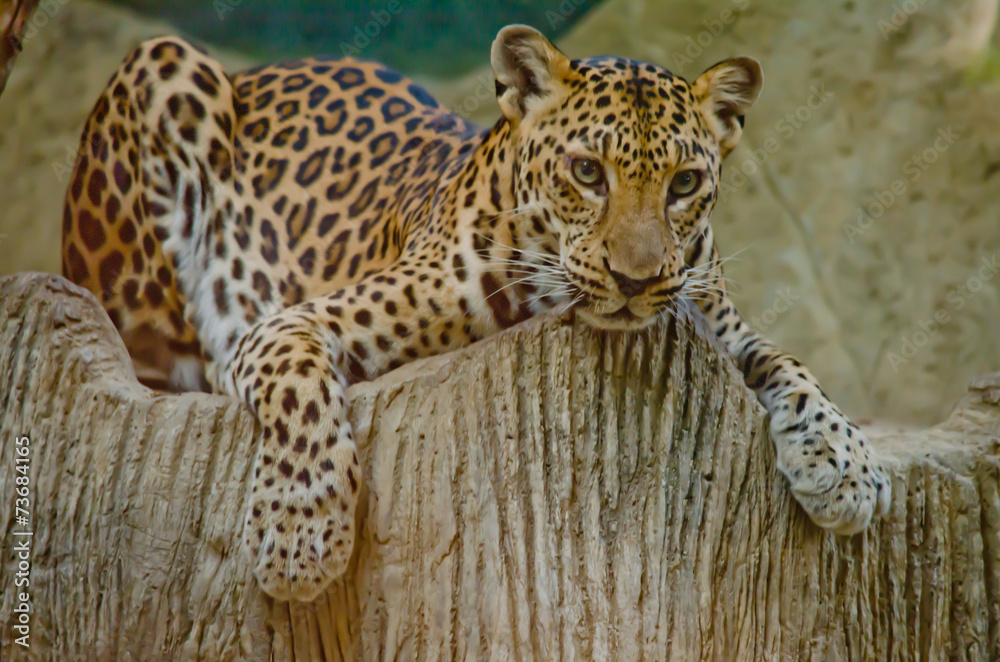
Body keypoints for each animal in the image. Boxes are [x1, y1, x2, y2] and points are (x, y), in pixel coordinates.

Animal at [62, 24, 891, 602]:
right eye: (586, 172)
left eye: (684, 183)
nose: (633, 279)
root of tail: (259, 69)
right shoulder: (291, 324)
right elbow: (301, 391)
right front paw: (301, 538)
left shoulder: (712, 319)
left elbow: (788, 362)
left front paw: (846, 464)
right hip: (162, 77)